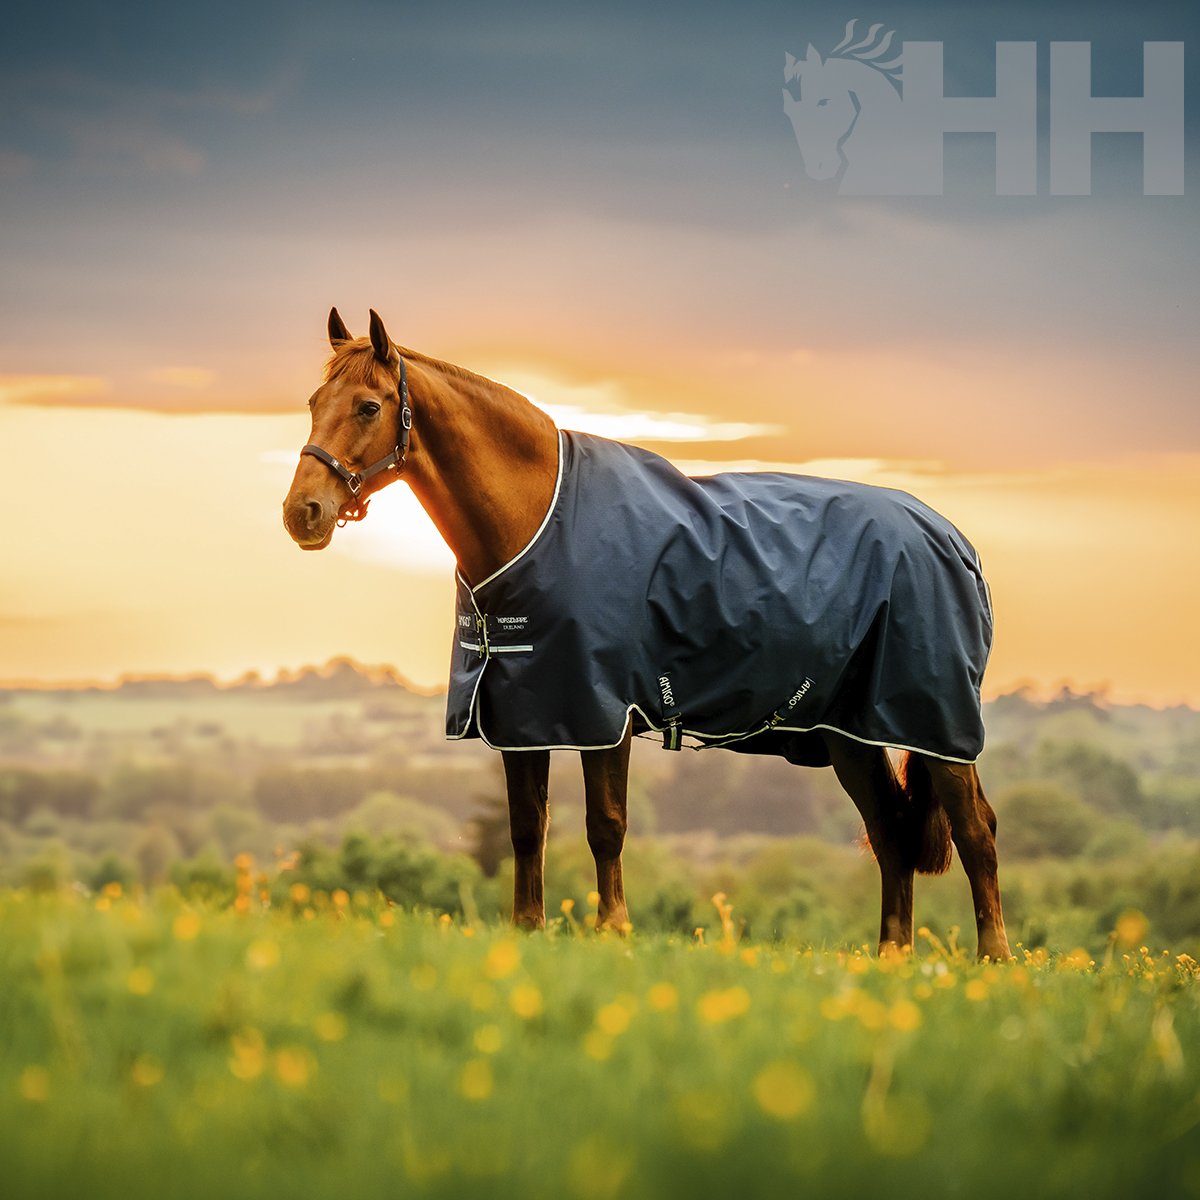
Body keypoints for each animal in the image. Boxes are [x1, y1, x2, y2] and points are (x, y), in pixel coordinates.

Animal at [282, 308, 1011, 960]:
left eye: (369, 407)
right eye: (315, 401)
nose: (302, 513)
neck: (538, 520)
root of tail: (954, 541)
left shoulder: (602, 711)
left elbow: (606, 826)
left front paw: (613, 931)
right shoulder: (523, 713)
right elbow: (526, 829)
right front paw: (528, 929)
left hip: (937, 723)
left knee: (976, 831)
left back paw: (995, 960)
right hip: (848, 733)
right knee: (889, 833)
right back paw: (893, 958)